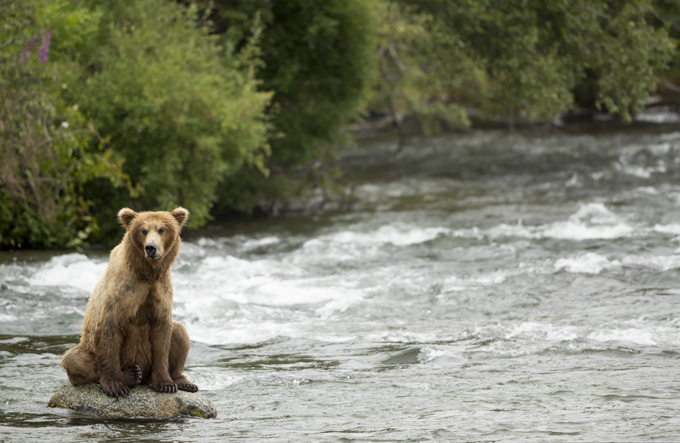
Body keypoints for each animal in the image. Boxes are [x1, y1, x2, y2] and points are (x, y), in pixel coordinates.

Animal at [60, 207, 198, 398]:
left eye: (162, 229)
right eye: (143, 230)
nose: (151, 248)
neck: (147, 272)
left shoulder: (160, 289)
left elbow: (163, 333)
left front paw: (165, 384)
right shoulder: (123, 288)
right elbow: (110, 326)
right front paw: (116, 386)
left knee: (179, 332)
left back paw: (182, 381)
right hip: (89, 349)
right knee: (73, 359)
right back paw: (131, 374)